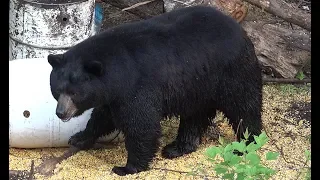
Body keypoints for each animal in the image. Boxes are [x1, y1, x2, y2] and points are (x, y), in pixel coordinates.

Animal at [48, 5, 262, 176]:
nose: (61, 113)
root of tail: (240, 29)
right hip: (198, 86)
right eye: (57, 90)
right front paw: (79, 137)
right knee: (195, 115)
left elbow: (141, 125)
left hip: (231, 72)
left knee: (244, 107)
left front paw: (127, 167)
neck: (117, 70)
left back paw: (247, 143)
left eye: (75, 93)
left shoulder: (136, 88)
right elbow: (103, 117)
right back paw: (177, 147)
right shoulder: (114, 96)